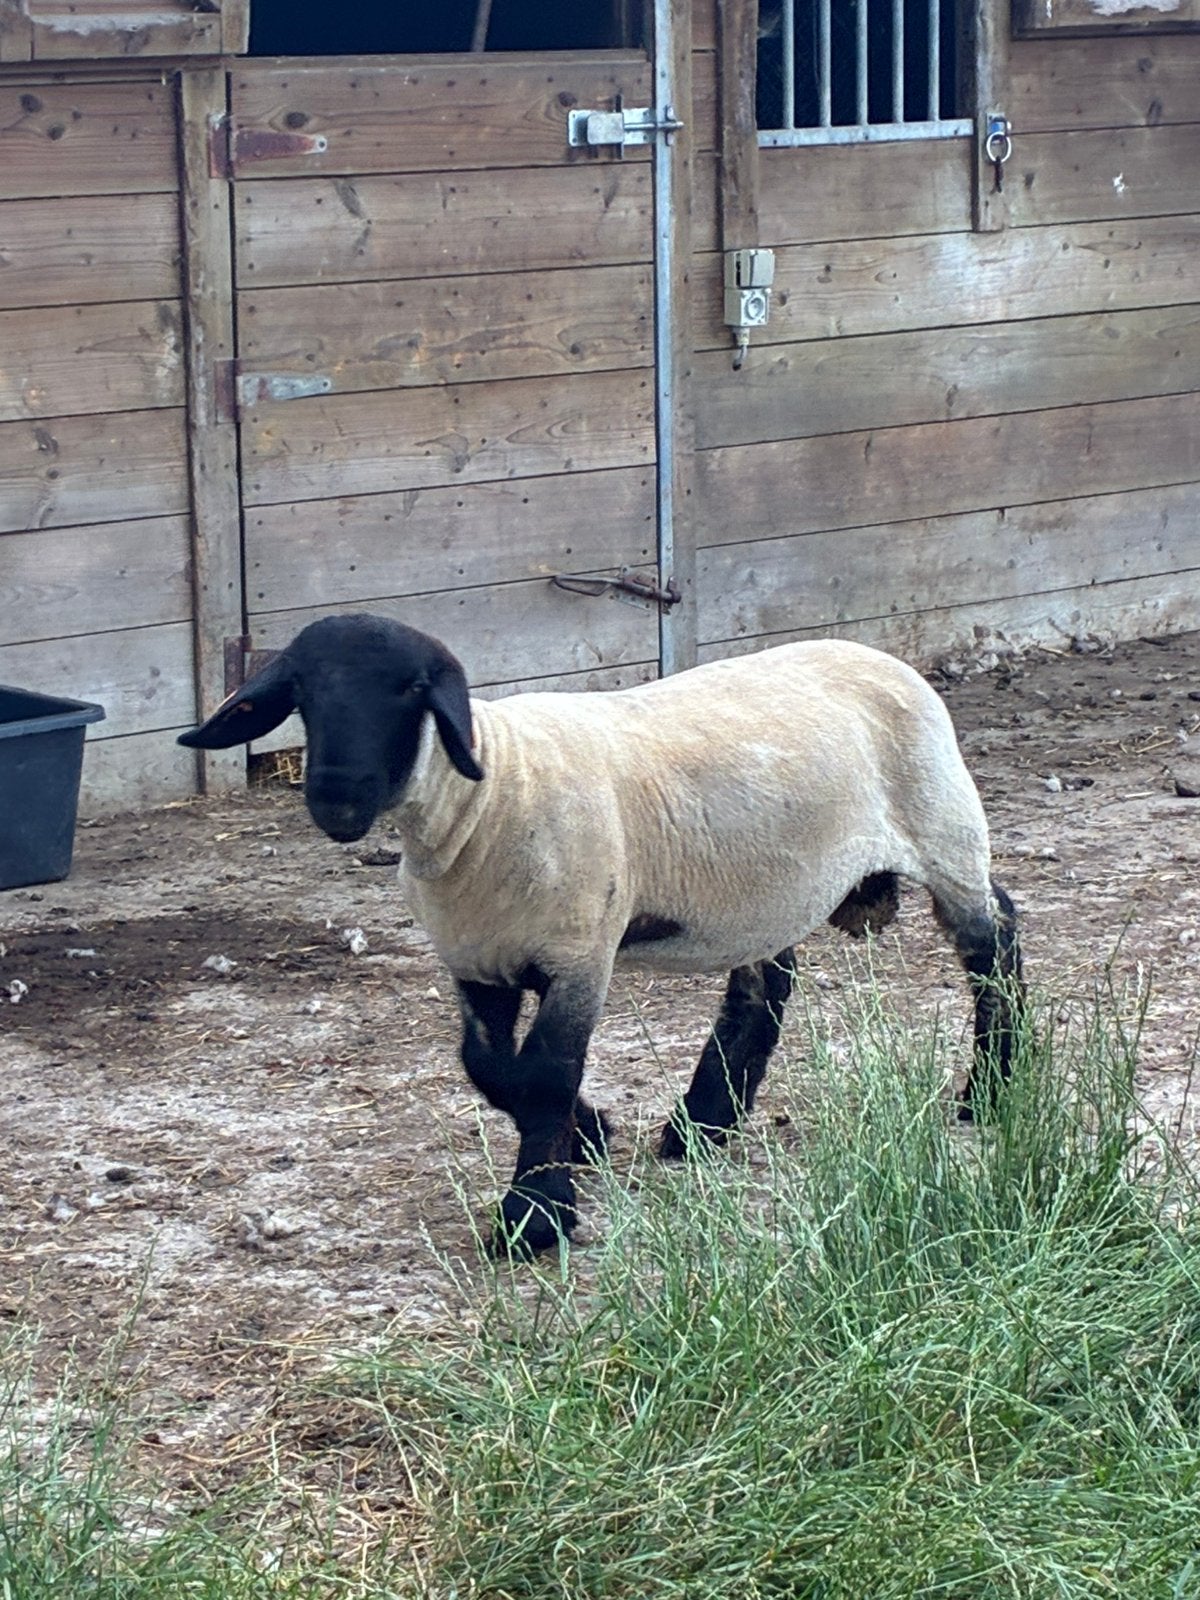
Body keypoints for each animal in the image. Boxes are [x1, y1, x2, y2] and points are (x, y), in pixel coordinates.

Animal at [179, 612, 1024, 1256]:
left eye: (412, 690)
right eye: (301, 692)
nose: (335, 798)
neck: (486, 797)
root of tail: (880, 657)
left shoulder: (579, 953)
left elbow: (545, 1074)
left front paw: (535, 1217)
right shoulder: (476, 958)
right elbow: (491, 1070)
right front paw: (587, 1135)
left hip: (946, 832)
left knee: (995, 943)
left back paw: (991, 1091)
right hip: (763, 887)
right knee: (763, 986)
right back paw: (701, 1124)